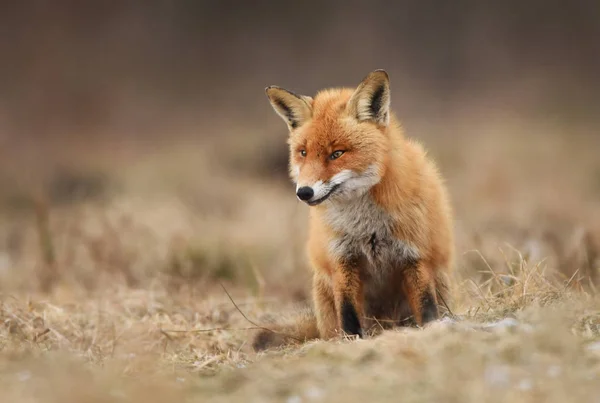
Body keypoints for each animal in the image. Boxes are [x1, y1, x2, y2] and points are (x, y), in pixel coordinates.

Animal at [253, 69, 454, 350]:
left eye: (337, 153)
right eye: (303, 153)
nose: (304, 192)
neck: (366, 225)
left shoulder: (415, 255)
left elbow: (426, 305)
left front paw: (432, 331)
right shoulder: (342, 260)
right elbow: (348, 312)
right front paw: (351, 342)